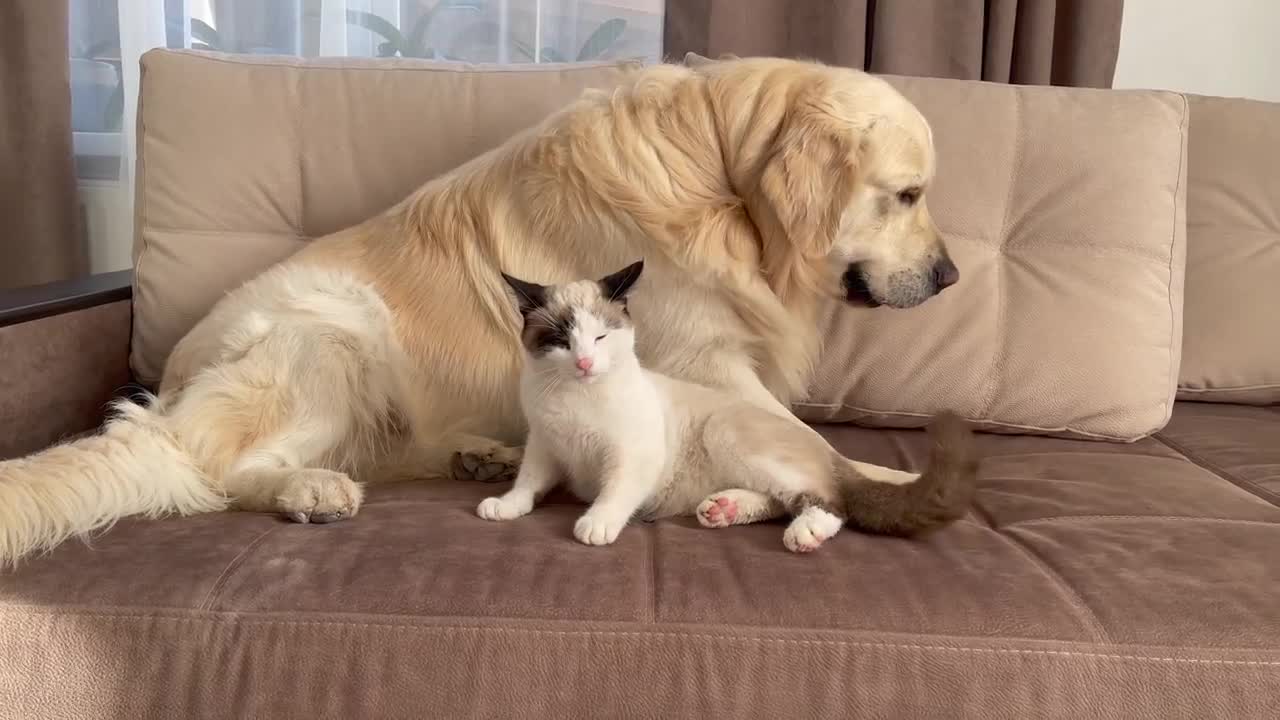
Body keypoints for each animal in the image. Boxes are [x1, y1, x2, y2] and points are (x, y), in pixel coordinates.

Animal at [476, 260, 972, 550]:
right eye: (561, 340)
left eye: (599, 337)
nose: (583, 362)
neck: (576, 394)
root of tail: (830, 450)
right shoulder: (545, 446)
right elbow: (528, 484)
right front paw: (504, 506)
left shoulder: (630, 455)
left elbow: (614, 491)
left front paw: (595, 525)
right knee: (783, 500)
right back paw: (722, 510)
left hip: (724, 433)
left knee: (830, 501)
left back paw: (804, 533)